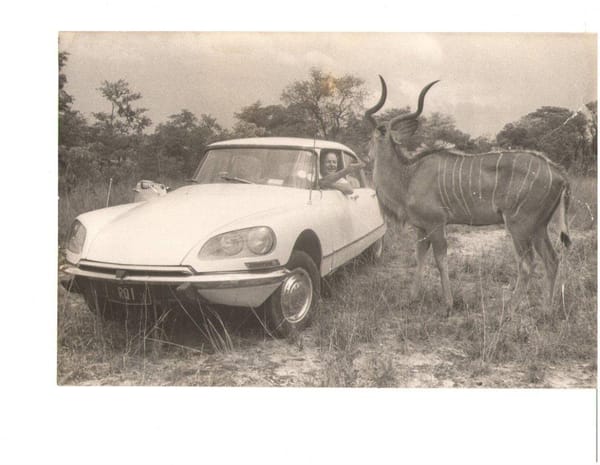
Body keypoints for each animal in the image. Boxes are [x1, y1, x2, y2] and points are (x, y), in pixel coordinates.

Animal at [366, 76, 572, 314]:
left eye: (373, 136)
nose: (367, 154)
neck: (409, 175)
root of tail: (559, 173)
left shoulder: (436, 224)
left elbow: (440, 259)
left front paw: (448, 304)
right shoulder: (421, 228)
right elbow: (419, 257)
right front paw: (411, 298)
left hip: (519, 225)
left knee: (528, 263)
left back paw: (510, 308)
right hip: (538, 227)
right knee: (552, 260)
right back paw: (546, 309)